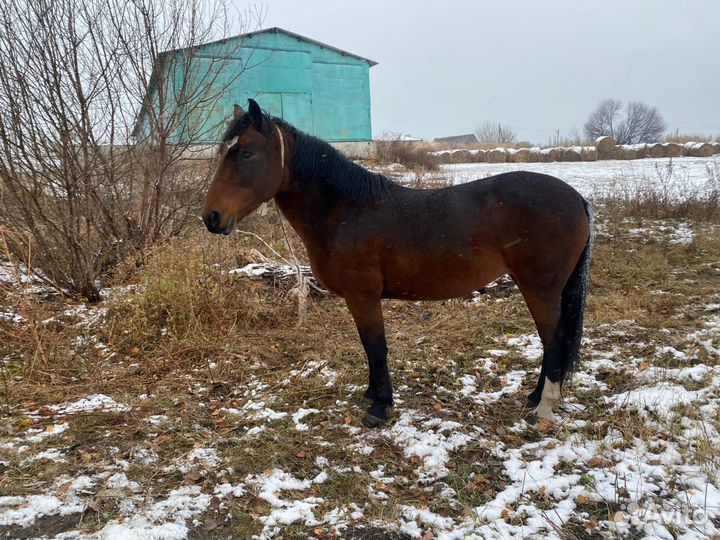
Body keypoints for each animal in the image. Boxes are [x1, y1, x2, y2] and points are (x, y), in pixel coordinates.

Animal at [203, 99, 594, 427]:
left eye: (247, 152)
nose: (212, 217)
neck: (345, 210)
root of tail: (576, 198)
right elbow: (368, 346)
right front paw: (371, 396)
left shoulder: (363, 296)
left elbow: (376, 346)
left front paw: (380, 407)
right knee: (551, 341)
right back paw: (533, 398)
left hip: (540, 288)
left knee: (553, 339)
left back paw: (543, 408)